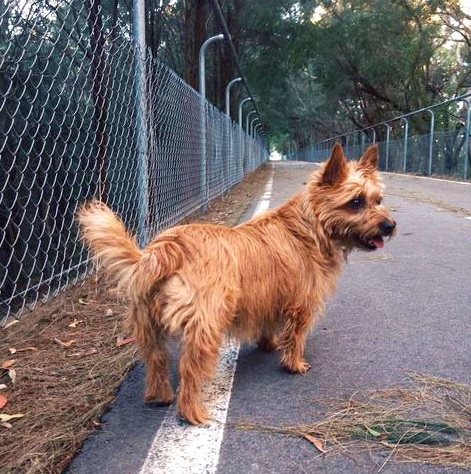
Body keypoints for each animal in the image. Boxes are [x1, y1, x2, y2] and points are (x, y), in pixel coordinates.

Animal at [78, 143, 398, 424]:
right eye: (356, 202)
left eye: (378, 200)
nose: (390, 226)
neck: (309, 226)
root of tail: (167, 248)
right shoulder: (301, 304)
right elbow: (295, 337)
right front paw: (293, 364)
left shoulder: (268, 298)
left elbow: (269, 325)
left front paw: (269, 345)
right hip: (205, 328)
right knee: (189, 371)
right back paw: (192, 413)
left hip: (148, 327)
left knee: (156, 361)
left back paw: (160, 396)